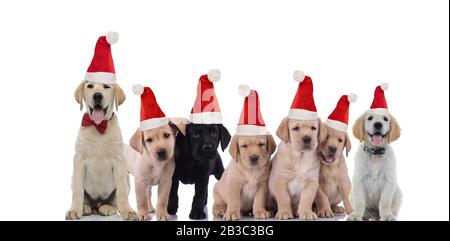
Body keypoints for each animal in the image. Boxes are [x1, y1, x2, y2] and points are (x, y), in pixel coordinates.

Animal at [66, 80, 137, 220]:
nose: (97, 96)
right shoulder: (79, 160)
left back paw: (107, 207)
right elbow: (78, 190)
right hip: (73, 179)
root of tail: (97, 204)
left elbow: (121, 190)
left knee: (115, 200)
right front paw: (74, 209)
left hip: (127, 178)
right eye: (90, 86)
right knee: (83, 196)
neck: (98, 127)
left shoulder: (119, 161)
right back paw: (85, 207)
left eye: (106, 86)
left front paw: (127, 211)